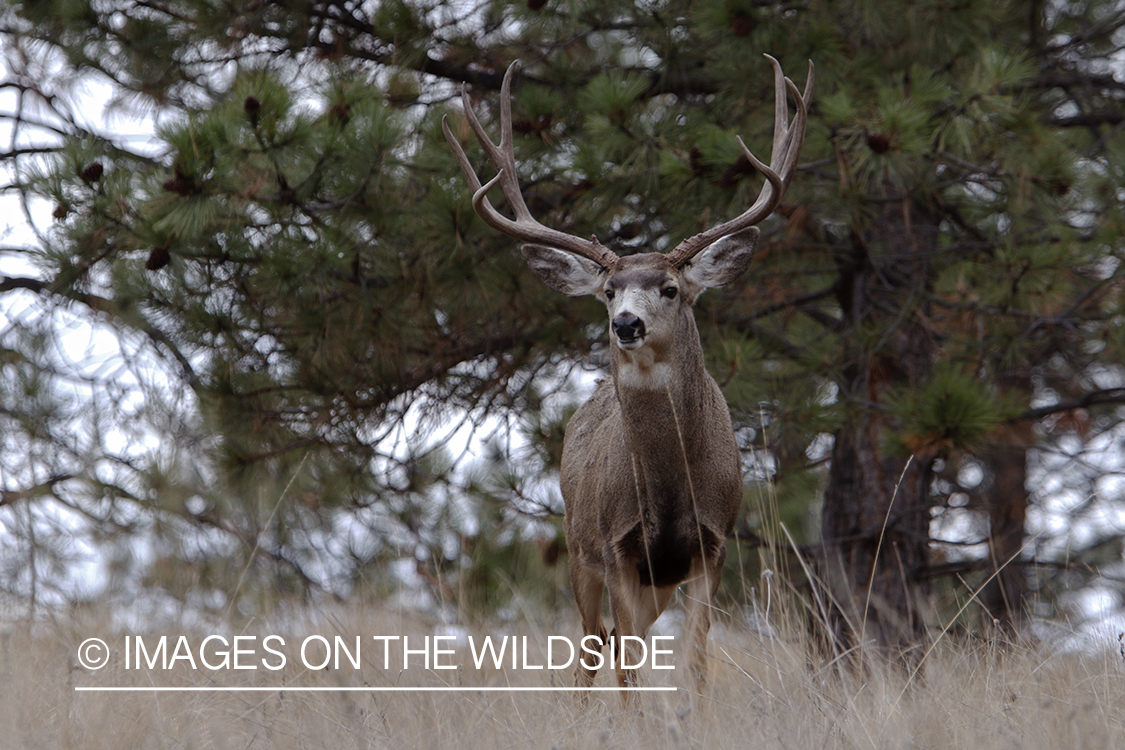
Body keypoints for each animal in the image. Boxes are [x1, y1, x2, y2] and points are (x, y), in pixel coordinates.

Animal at [443, 55, 812, 703]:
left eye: (670, 288)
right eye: (609, 290)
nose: (626, 324)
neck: (669, 489)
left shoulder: (712, 545)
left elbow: (695, 663)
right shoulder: (616, 547)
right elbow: (627, 669)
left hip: (652, 579)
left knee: (615, 644)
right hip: (576, 545)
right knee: (594, 649)